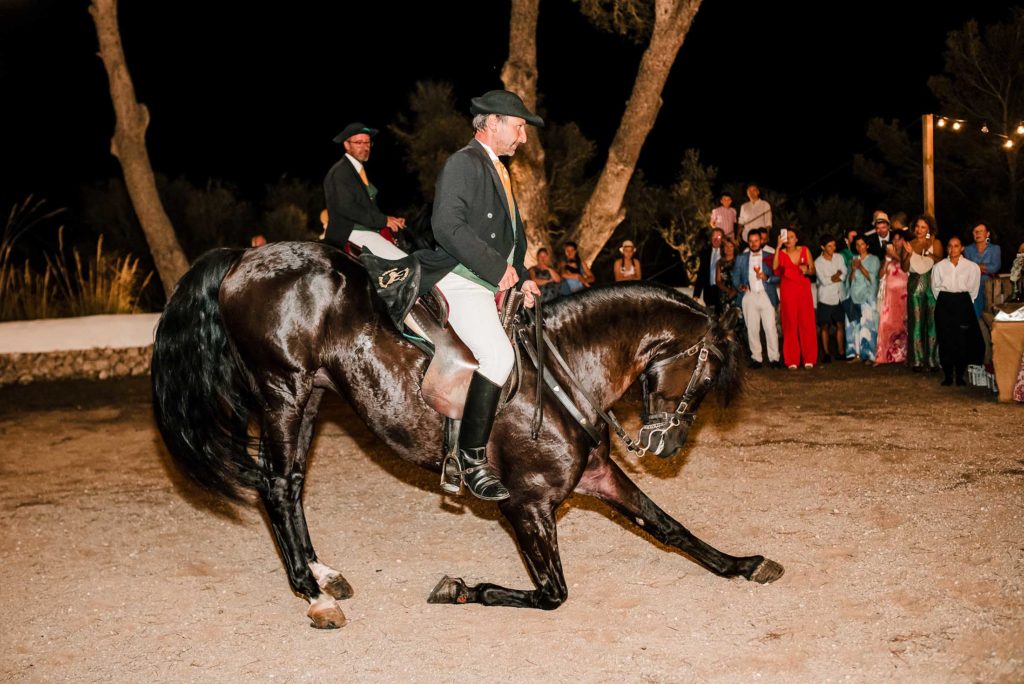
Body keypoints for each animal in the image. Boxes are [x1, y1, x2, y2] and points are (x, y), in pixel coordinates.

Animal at [149, 241, 782, 630]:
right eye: (706, 375)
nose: (667, 446)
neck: (565, 370)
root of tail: (245, 258)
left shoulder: (598, 476)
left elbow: (669, 527)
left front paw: (743, 564)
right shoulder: (526, 505)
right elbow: (552, 593)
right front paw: (457, 588)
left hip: (310, 399)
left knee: (291, 483)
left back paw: (323, 575)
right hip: (282, 392)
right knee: (277, 486)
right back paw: (315, 595)